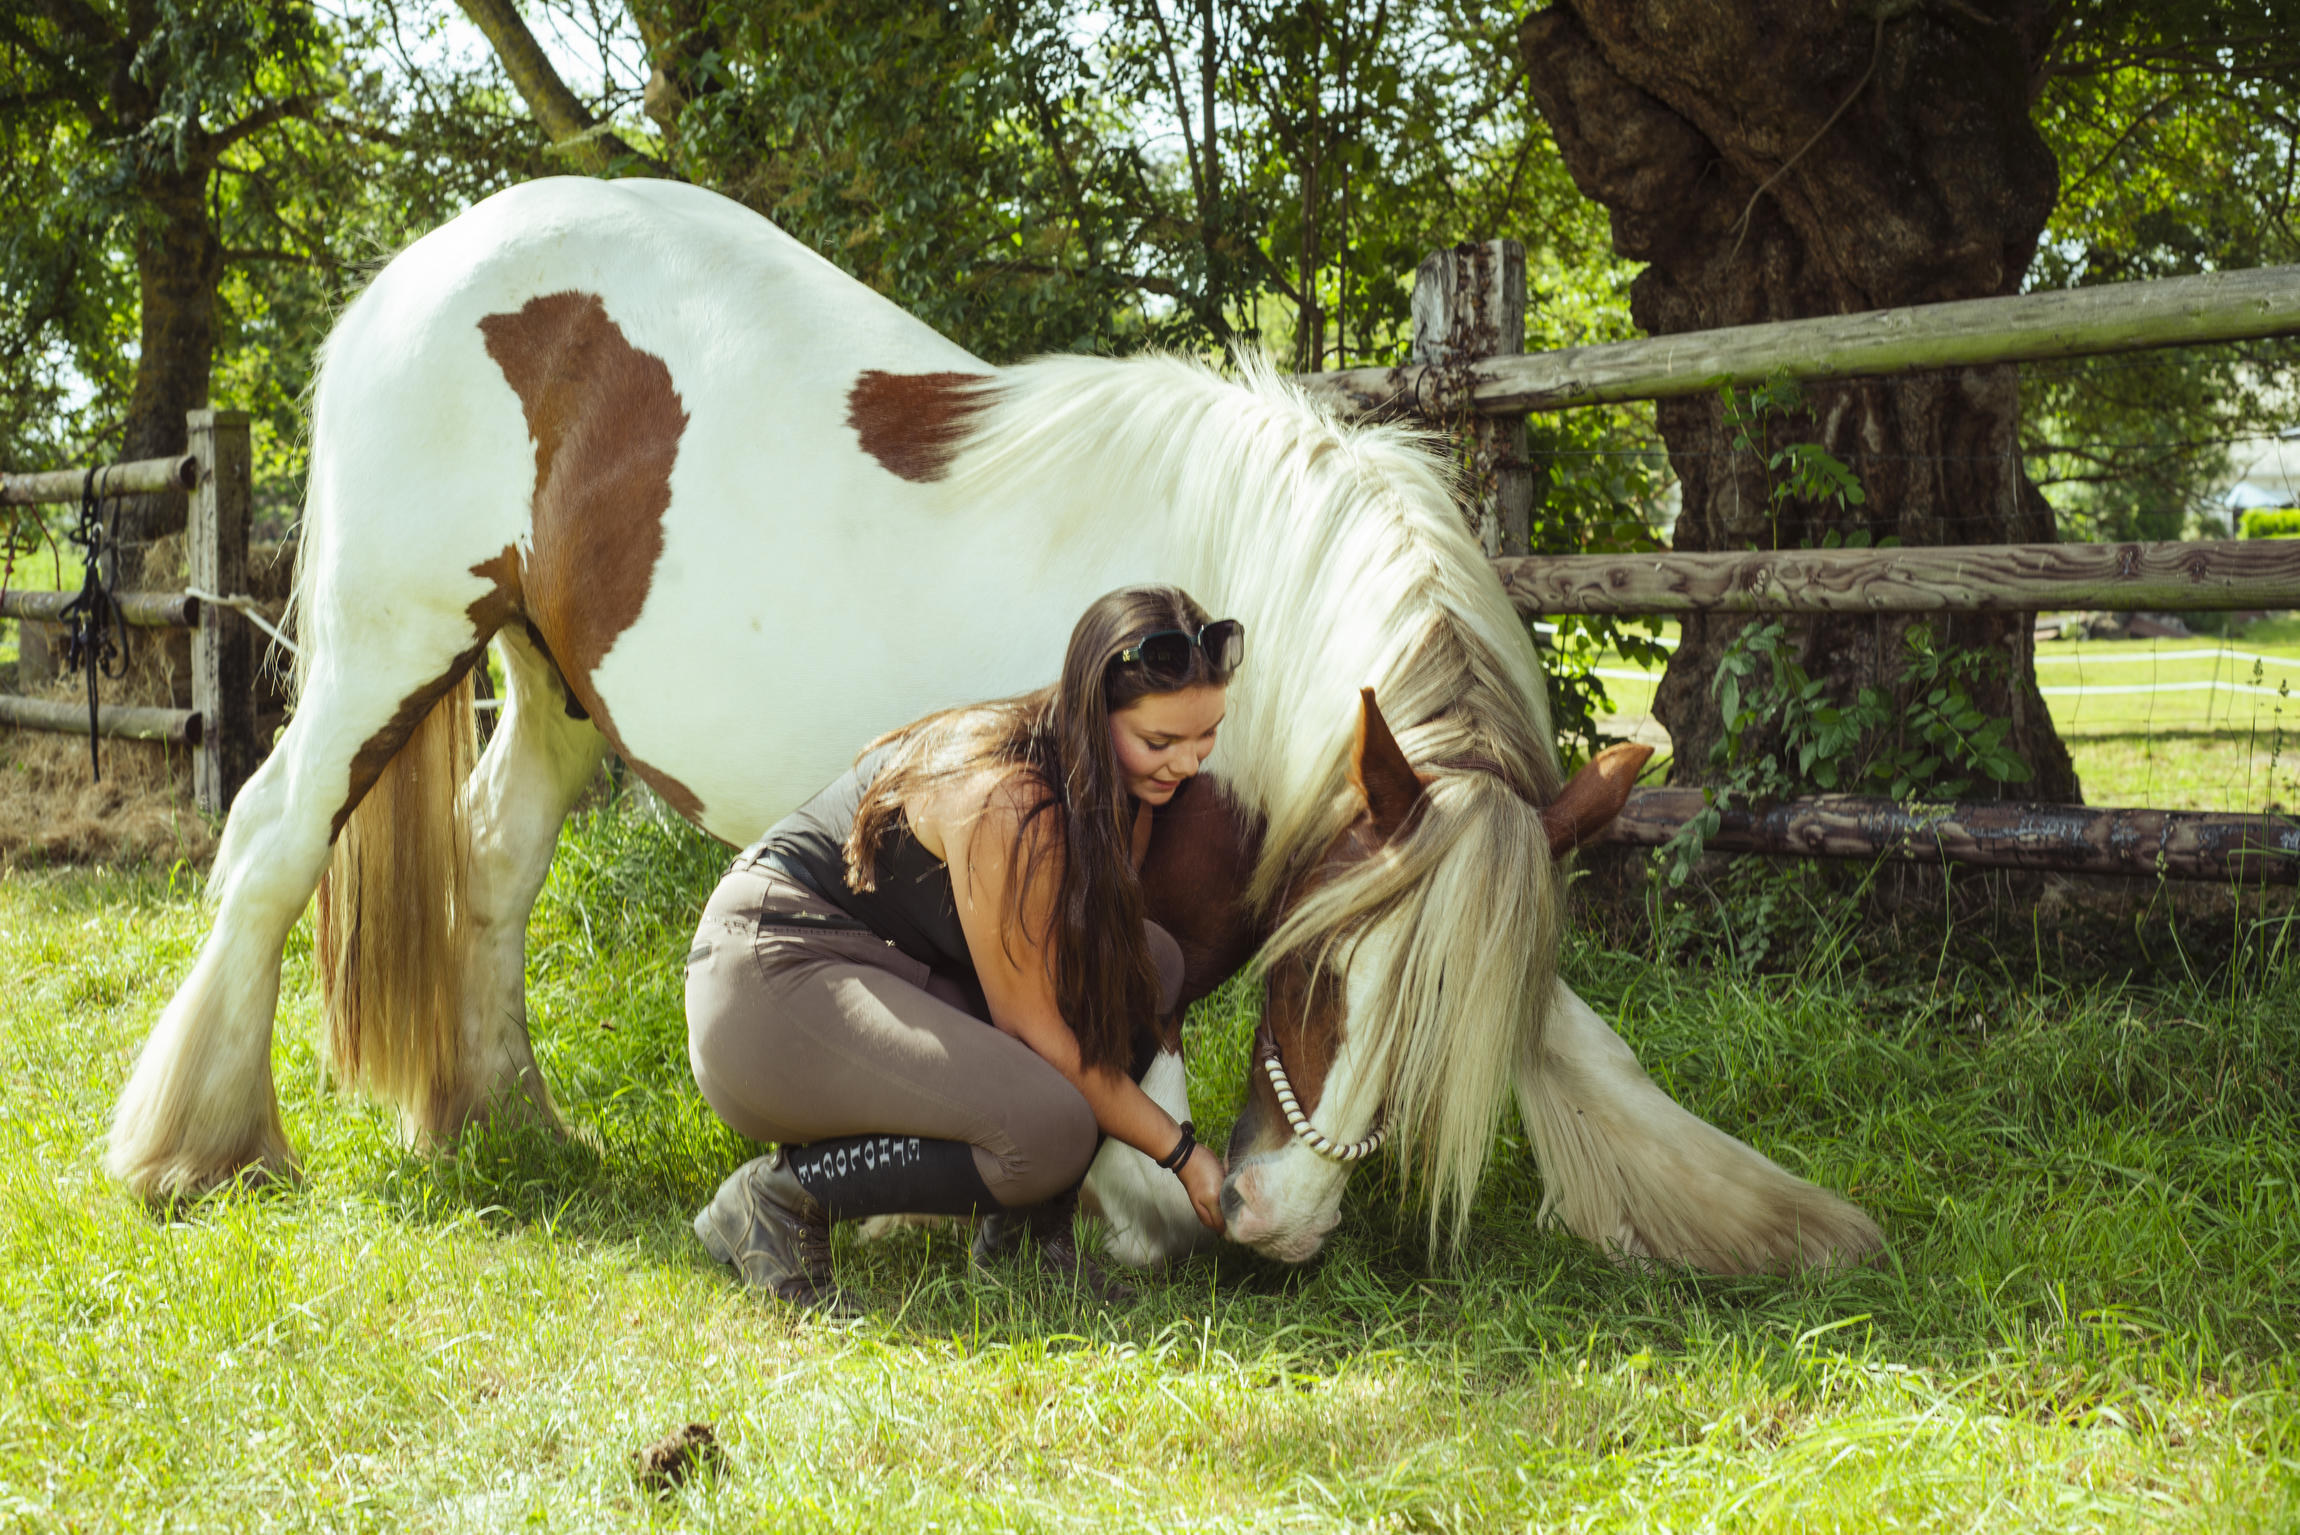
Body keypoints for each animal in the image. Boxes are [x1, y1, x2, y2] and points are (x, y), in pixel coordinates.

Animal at [103, 173, 1886, 1270]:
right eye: (1314, 981)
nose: (1284, 1221)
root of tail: (422, 268)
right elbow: (1116, 1077)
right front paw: (1114, 1209)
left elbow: (1571, 1029)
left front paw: (1764, 1220)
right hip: (389, 638)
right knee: (267, 847)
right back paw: (198, 1147)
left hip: (550, 676)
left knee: (488, 863)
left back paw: (513, 1121)